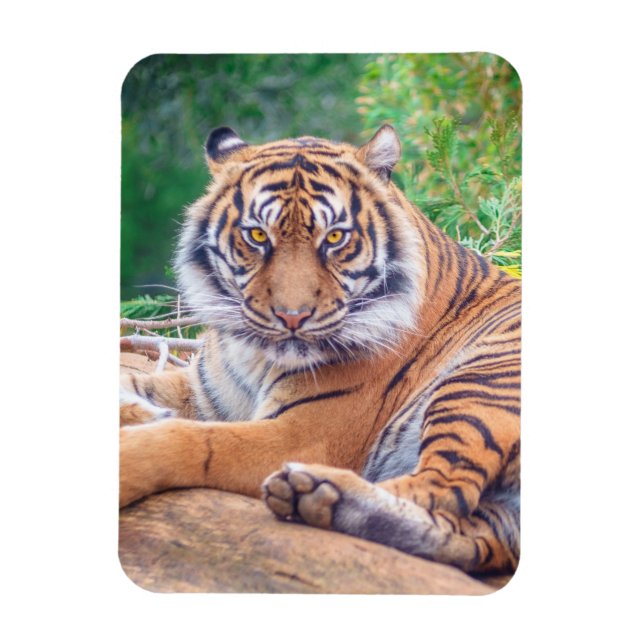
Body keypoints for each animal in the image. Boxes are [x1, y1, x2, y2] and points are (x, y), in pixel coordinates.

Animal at [120, 124, 521, 577]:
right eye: (257, 235)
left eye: (334, 238)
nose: (292, 317)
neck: (254, 354)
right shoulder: (204, 393)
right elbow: (130, 381)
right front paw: (140, 411)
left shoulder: (300, 435)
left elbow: (192, 441)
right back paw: (317, 497)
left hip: (479, 382)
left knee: (444, 489)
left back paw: (318, 488)